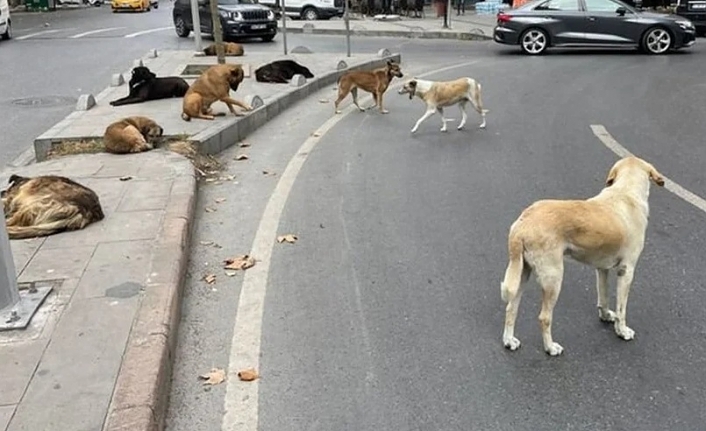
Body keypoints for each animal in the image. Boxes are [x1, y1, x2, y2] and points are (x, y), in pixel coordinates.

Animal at [498, 157, 664, 356]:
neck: (625, 192)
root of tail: (523, 223)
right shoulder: (627, 271)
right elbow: (622, 309)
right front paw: (622, 331)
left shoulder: (602, 269)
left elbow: (603, 297)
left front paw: (605, 316)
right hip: (553, 278)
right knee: (544, 317)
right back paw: (550, 348)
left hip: (522, 273)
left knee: (511, 308)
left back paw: (509, 341)